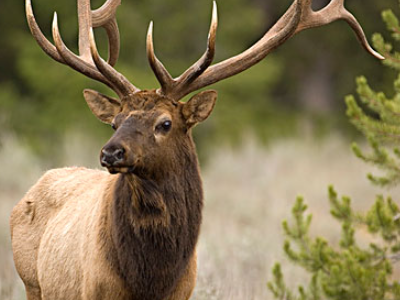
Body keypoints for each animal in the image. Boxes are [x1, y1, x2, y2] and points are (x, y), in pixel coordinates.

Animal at [10, 0, 382, 298]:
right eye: (115, 122)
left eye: (165, 123)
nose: (110, 153)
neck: (152, 278)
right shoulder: (95, 291)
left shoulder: (184, 291)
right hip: (33, 284)